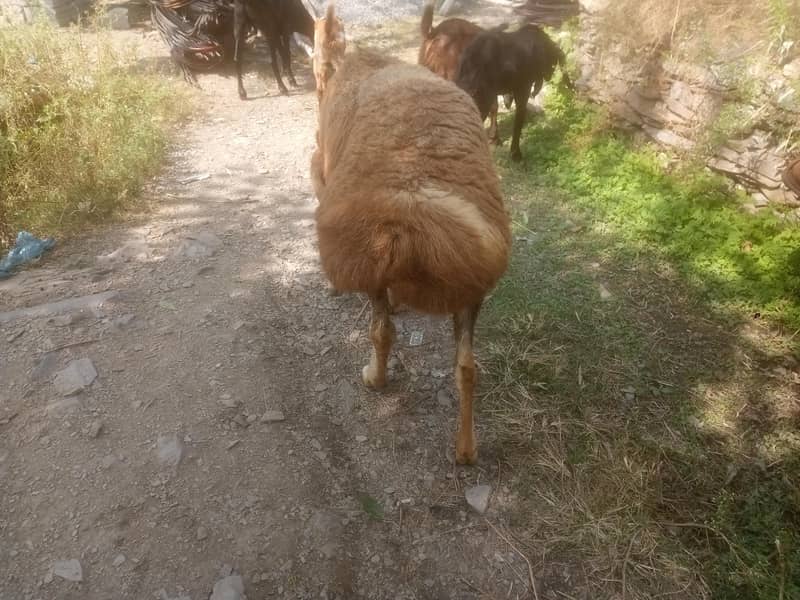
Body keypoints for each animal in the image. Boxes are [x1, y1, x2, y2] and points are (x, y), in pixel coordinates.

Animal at [311, 47, 511, 464]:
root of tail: (411, 215)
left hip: (369, 261)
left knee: (382, 331)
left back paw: (375, 378)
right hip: (472, 289)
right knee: (466, 366)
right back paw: (466, 449)